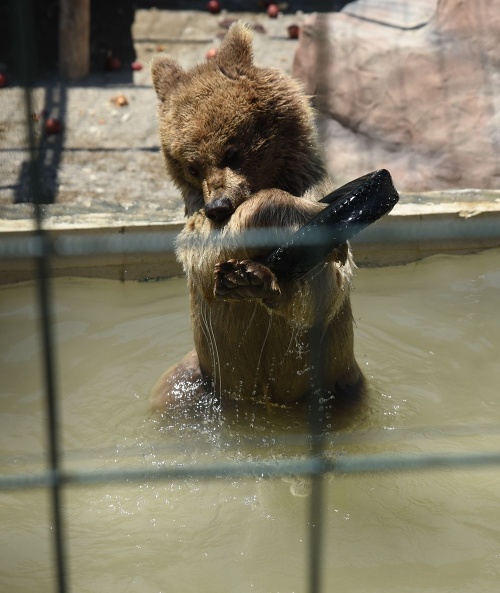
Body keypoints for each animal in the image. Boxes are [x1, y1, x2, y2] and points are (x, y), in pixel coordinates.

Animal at [150, 22, 366, 412]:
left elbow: (325, 286)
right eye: (192, 165)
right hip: (193, 380)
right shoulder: (196, 221)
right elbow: (201, 257)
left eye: (232, 150)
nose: (219, 205)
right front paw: (245, 271)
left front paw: (254, 276)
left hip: (342, 386)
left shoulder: (309, 184)